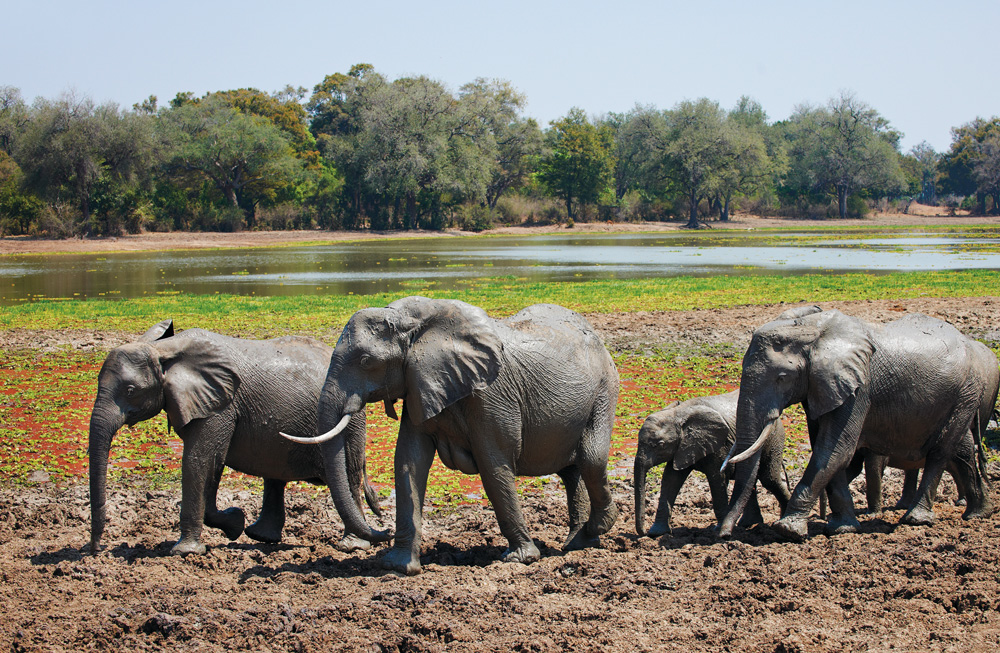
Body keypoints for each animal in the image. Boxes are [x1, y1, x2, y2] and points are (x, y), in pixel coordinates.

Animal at [88, 320, 384, 556]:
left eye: (130, 390)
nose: (96, 550)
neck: (165, 350)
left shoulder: (221, 405)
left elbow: (200, 459)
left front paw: (188, 551)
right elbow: (211, 463)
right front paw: (234, 524)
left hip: (353, 420)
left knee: (349, 474)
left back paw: (351, 546)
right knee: (275, 474)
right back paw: (260, 536)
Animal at [282, 298, 620, 572]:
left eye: (366, 361)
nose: (382, 530)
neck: (414, 322)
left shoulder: (492, 394)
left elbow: (494, 466)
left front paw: (519, 559)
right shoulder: (418, 385)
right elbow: (408, 462)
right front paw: (397, 566)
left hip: (605, 388)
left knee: (590, 459)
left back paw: (594, 530)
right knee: (571, 470)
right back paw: (577, 544)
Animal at [632, 392, 788, 536]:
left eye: (660, 444)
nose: (643, 532)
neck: (679, 413)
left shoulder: (718, 445)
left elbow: (717, 479)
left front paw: (718, 530)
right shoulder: (682, 447)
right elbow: (671, 479)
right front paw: (656, 533)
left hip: (774, 436)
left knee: (769, 479)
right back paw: (749, 524)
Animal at [720, 308, 992, 544]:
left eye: (782, 378)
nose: (723, 535)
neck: (811, 329)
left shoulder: (860, 388)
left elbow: (835, 450)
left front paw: (788, 530)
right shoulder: (821, 386)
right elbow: (828, 450)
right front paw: (842, 528)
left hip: (966, 391)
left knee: (940, 452)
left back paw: (917, 520)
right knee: (960, 453)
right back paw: (979, 514)